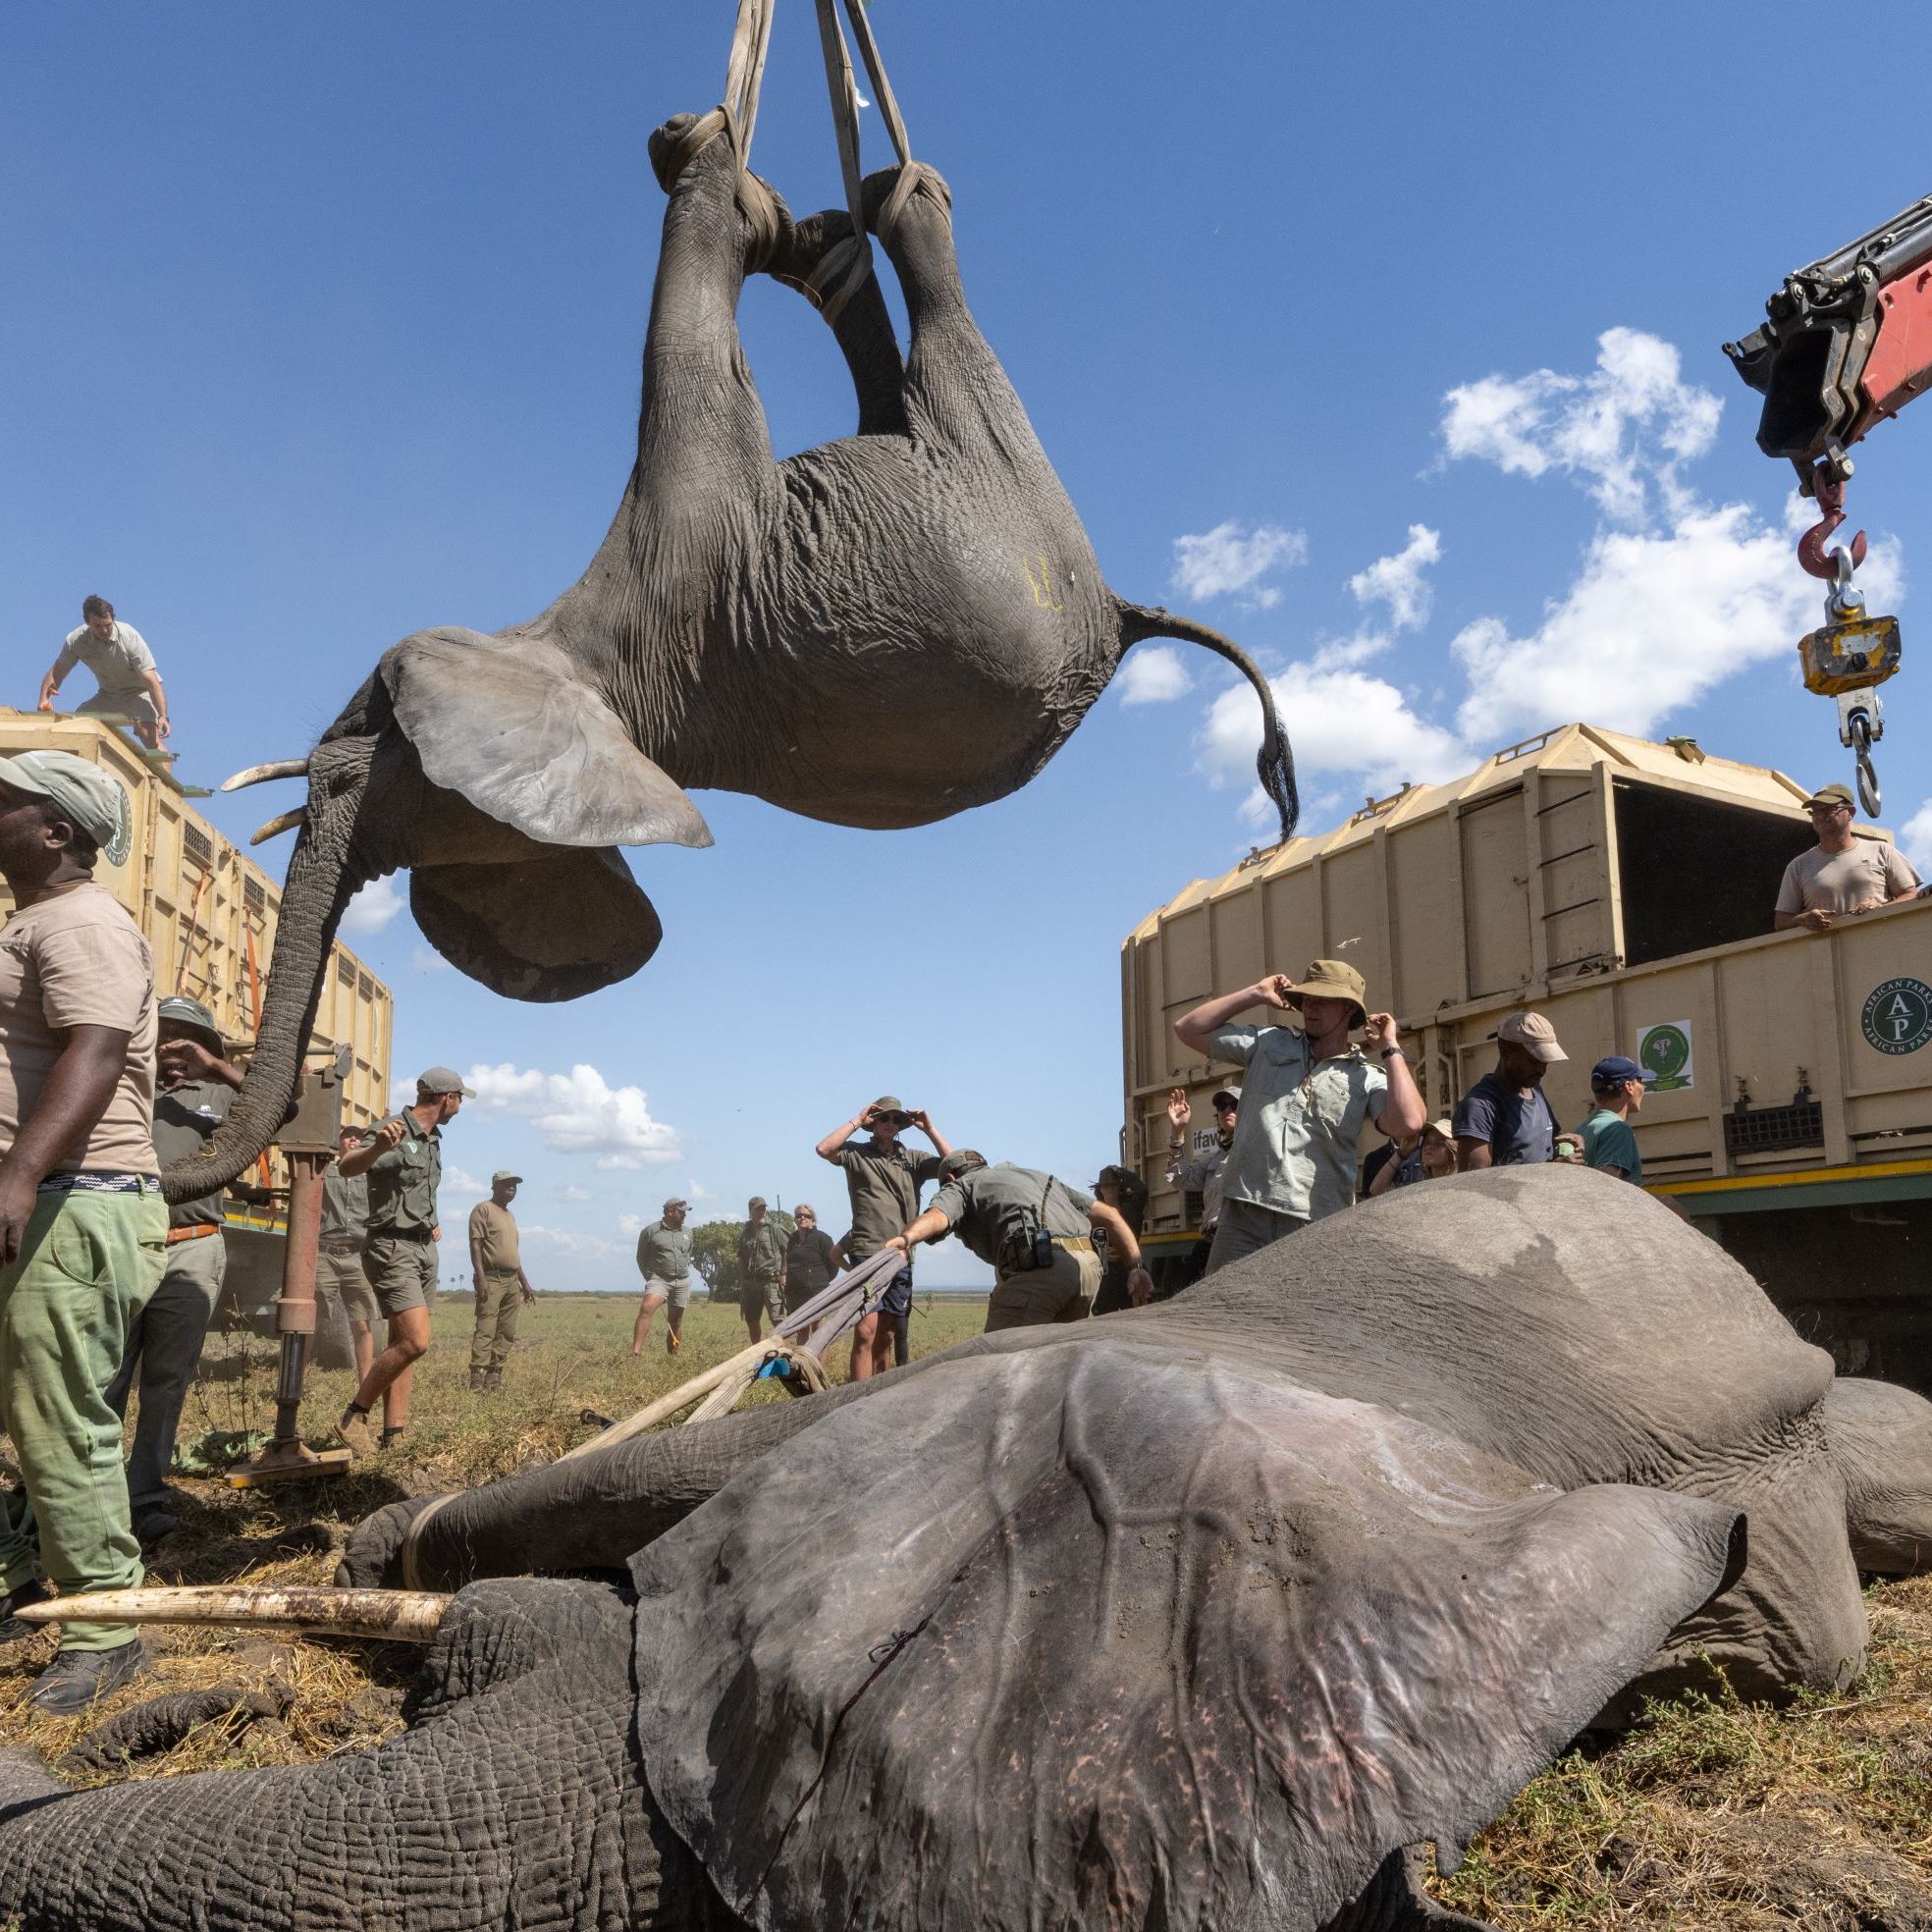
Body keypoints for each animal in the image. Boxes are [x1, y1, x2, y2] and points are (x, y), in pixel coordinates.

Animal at [174, 106, 1297, 1206]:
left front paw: (708, 160)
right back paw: (829, 241)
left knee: (936, 332)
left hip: (1006, 471)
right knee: (893, 381)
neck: (597, 677)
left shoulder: (692, 525)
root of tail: (1122, 615)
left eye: (361, 742)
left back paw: (877, 202)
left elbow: (686, 355)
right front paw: (763, 209)